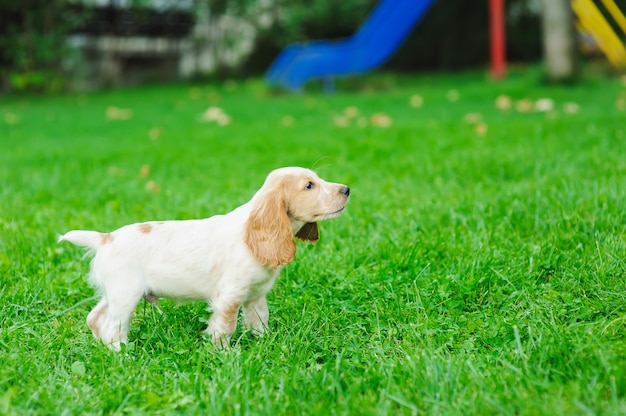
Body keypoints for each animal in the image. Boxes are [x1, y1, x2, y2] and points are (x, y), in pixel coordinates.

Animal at [59, 167, 348, 350]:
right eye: (309, 185)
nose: (346, 189)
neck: (250, 233)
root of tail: (105, 238)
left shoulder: (255, 296)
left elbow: (259, 321)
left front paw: (267, 342)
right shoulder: (229, 297)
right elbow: (225, 327)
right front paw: (224, 354)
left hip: (113, 293)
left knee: (95, 318)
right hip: (125, 295)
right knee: (112, 328)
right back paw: (122, 355)